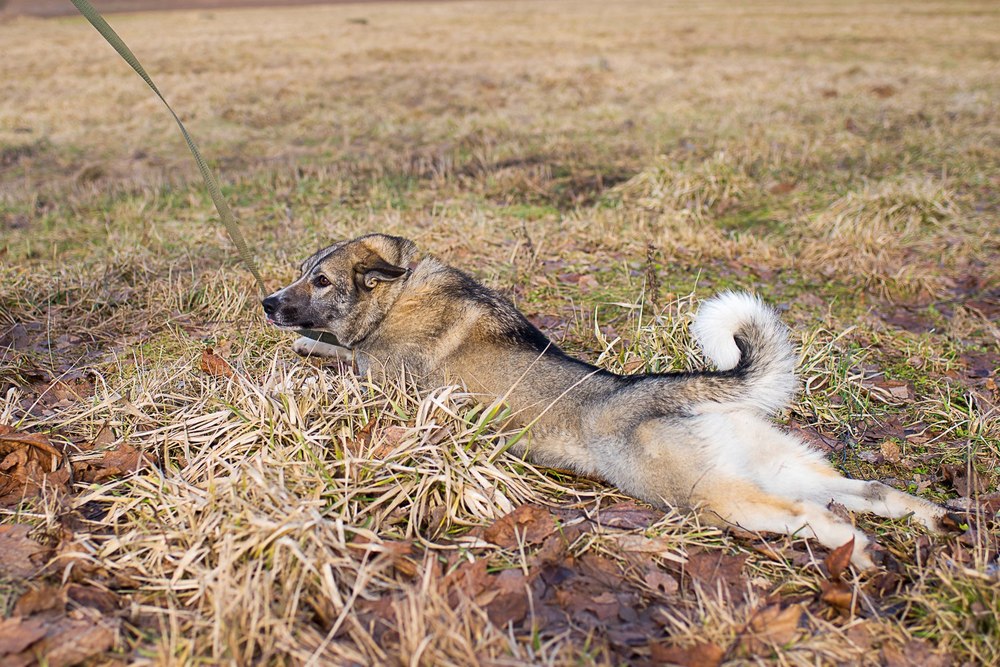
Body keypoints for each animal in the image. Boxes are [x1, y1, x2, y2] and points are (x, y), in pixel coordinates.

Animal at [262, 232, 948, 568]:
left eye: (319, 281)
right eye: (300, 272)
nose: (269, 303)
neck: (398, 294)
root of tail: (670, 386)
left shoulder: (379, 377)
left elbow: (337, 357)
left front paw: (305, 347)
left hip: (713, 496)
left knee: (813, 515)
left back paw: (861, 552)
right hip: (779, 465)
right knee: (865, 491)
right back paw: (929, 518)